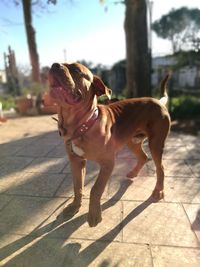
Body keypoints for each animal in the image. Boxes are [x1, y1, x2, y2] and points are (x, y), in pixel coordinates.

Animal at [48, 62, 170, 228]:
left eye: (76, 70)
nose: (54, 65)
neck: (82, 126)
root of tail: (158, 101)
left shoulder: (108, 163)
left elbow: (95, 189)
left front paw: (94, 214)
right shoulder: (76, 162)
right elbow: (77, 187)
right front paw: (75, 207)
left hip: (156, 144)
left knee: (160, 168)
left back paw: (158, 191)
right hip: (131, 141)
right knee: (143, 157)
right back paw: (133, 173)